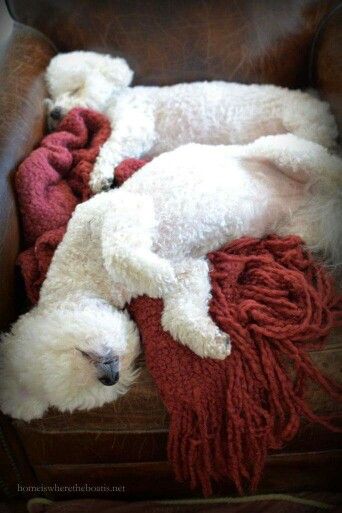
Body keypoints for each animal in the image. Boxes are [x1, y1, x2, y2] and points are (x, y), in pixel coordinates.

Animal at [1, 133, 340, 420]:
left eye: (81, 353)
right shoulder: (190, 267)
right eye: (93, 390)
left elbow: (118, 250)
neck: (85, 274)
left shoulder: (121, 210)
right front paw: (209, 341)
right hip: (299, 227)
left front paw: (155, 275)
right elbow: (178, 315)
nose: (110, 378)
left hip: (284, 153)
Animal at [44, 51, 338, 193]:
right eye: (53, 94)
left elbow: (110, 147)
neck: (117, 96)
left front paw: (100, 177)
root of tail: (323, 109)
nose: (55, 112)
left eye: (76, 88)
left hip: (302, 124)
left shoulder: (137, 125)